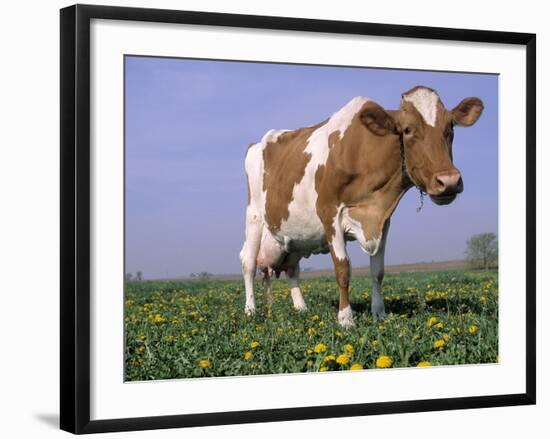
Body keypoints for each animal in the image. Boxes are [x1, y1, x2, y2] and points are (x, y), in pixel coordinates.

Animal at [239, 85, 486, 326]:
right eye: (407, 130)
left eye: (450, 126)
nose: (449, 181)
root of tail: (257, 143)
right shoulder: (329, 213)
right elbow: (342, 269)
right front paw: (345, 318)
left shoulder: (383, 220)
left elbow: (377, 271)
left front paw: (379, 314)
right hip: (254, 216)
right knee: (248, 262)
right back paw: (250, 310)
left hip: (293, 235)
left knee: (292, 268)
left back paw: (301, 308)